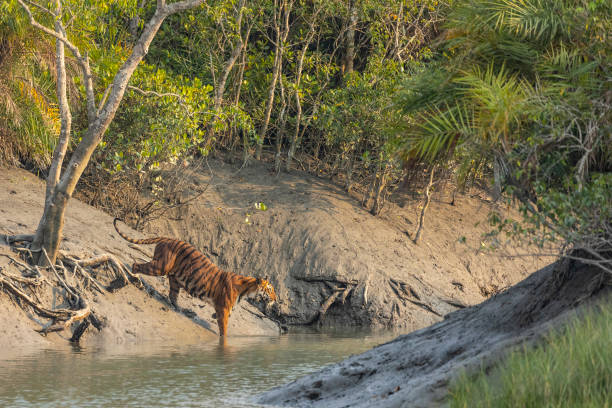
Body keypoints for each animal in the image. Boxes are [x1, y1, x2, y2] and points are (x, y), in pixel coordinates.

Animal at [112, 218, 278, 336]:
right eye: (270, 290)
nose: (275, 299)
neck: (247, 291)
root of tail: (167, 238)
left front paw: (212, 316)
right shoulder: (223, 309)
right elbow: (223, 330)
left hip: (175, 279)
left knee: (172, 295)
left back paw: (181, 310)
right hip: (160, 267)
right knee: (136, 265)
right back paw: (135, 278)